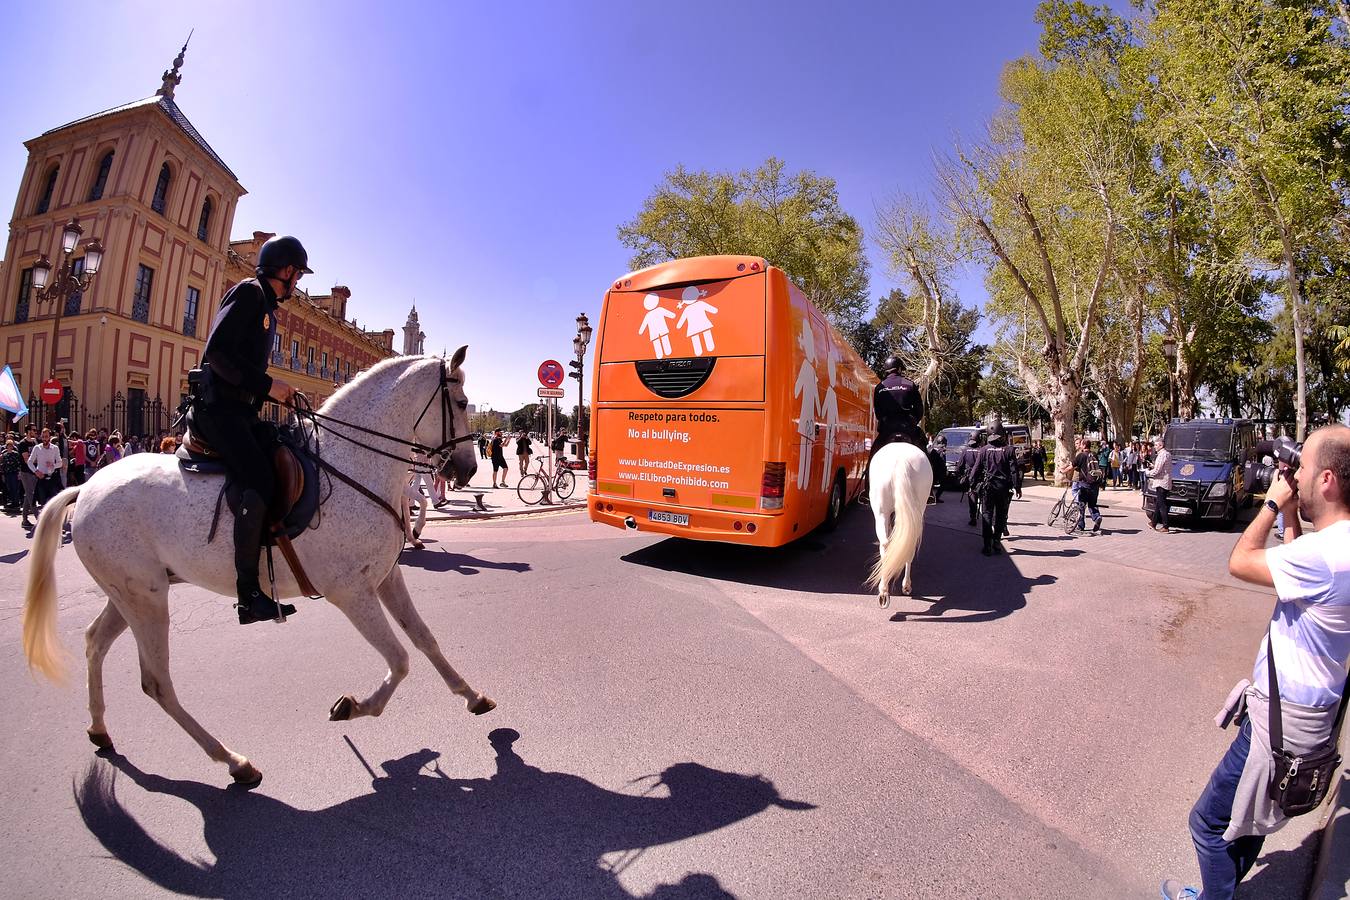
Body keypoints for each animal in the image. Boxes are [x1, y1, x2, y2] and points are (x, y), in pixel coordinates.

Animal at [21, 348, 494, 782]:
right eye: (461, 402)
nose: (469, 469)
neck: (349, 466)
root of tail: (84, 488)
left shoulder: (385, 577)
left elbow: (425, 640)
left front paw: (471, 695)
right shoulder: (351, 593)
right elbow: (399, 659)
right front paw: (355, 706)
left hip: (129, 595)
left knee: (94, 642)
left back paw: (100, 729)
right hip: (146, 602)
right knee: (156, 682)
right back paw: (233, 761)